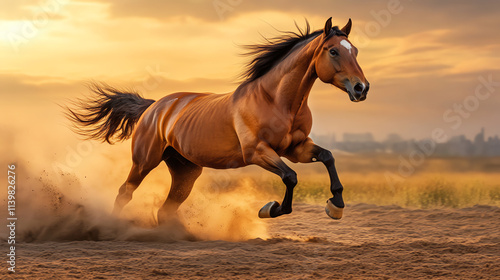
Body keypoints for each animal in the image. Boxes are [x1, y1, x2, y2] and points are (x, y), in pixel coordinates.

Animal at [66, 17, 370, 224]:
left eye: (355, 50)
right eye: (333, 51)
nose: (361, 88)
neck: (277, 101)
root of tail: (154, 107)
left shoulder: (296, 149)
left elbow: (328, 157)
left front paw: (336, 205)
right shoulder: (258, 152)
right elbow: (291, 177)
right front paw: (269, 209)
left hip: (186, 171)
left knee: (166, 208)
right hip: (144, 161)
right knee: (125, 193)